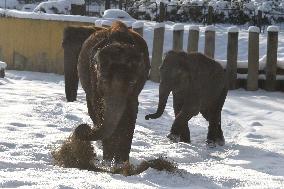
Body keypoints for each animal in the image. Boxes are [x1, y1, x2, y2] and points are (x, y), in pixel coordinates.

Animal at [63, 20, 150, 162]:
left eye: (132, 82)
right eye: (103, 79)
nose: (83, 127)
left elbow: (131, 111)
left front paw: (122, 163)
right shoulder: (94, 77)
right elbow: (100, 109)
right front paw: (108, 160)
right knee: (92, 108)